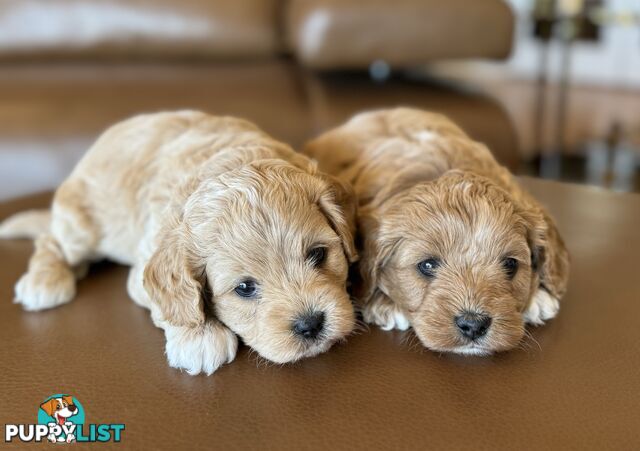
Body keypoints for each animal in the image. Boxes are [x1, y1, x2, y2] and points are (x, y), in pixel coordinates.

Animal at [2, 112, 358, 374]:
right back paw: (44, 281)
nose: (311, 324)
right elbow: (174, 309)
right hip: (81, 227)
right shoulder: (143, 267)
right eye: (244, 288)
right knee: (50, 238)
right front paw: (199, 337)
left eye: (318, 254)